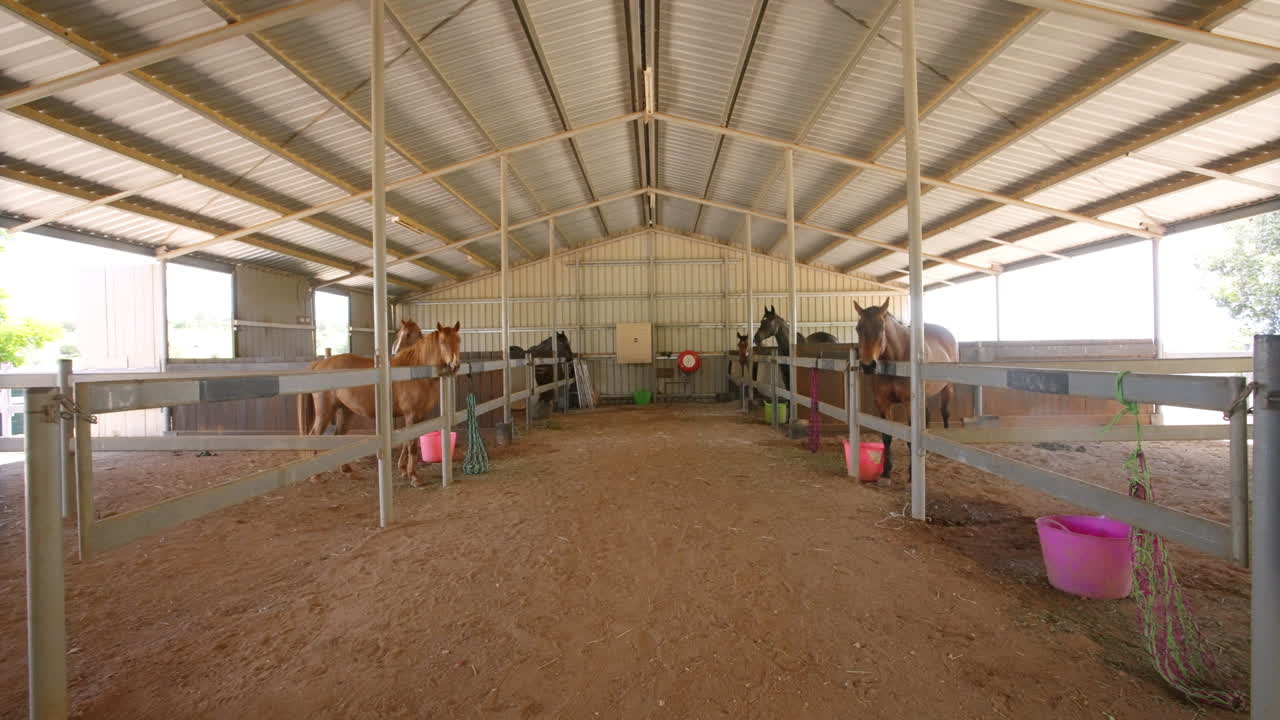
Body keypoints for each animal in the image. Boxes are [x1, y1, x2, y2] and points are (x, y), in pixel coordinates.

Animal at [854, 298, 958, 481]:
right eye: (858, 328)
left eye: (881, 327)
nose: (867, 366)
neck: (899, 356)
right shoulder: (883, 402)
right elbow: (886, 436)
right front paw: (886, 472)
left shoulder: (909, 403)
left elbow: (910, 439)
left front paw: (911, 474)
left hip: (948, 387)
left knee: (945, 412)